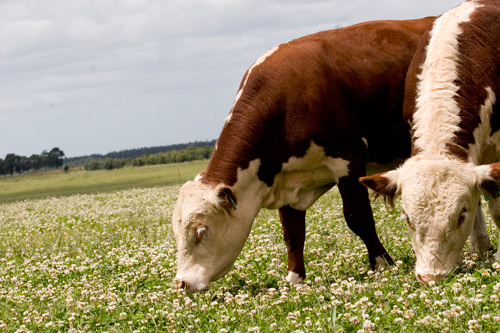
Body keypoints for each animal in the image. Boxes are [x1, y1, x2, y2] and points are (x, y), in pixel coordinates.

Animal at [169, 16, 438, 290]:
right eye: (176, 233)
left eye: (201, 231)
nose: (181, 282)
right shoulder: (284, 180)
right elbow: (293, 233)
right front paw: (295, 277)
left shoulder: (348, 161)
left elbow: (359, 217)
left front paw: (382, 263)